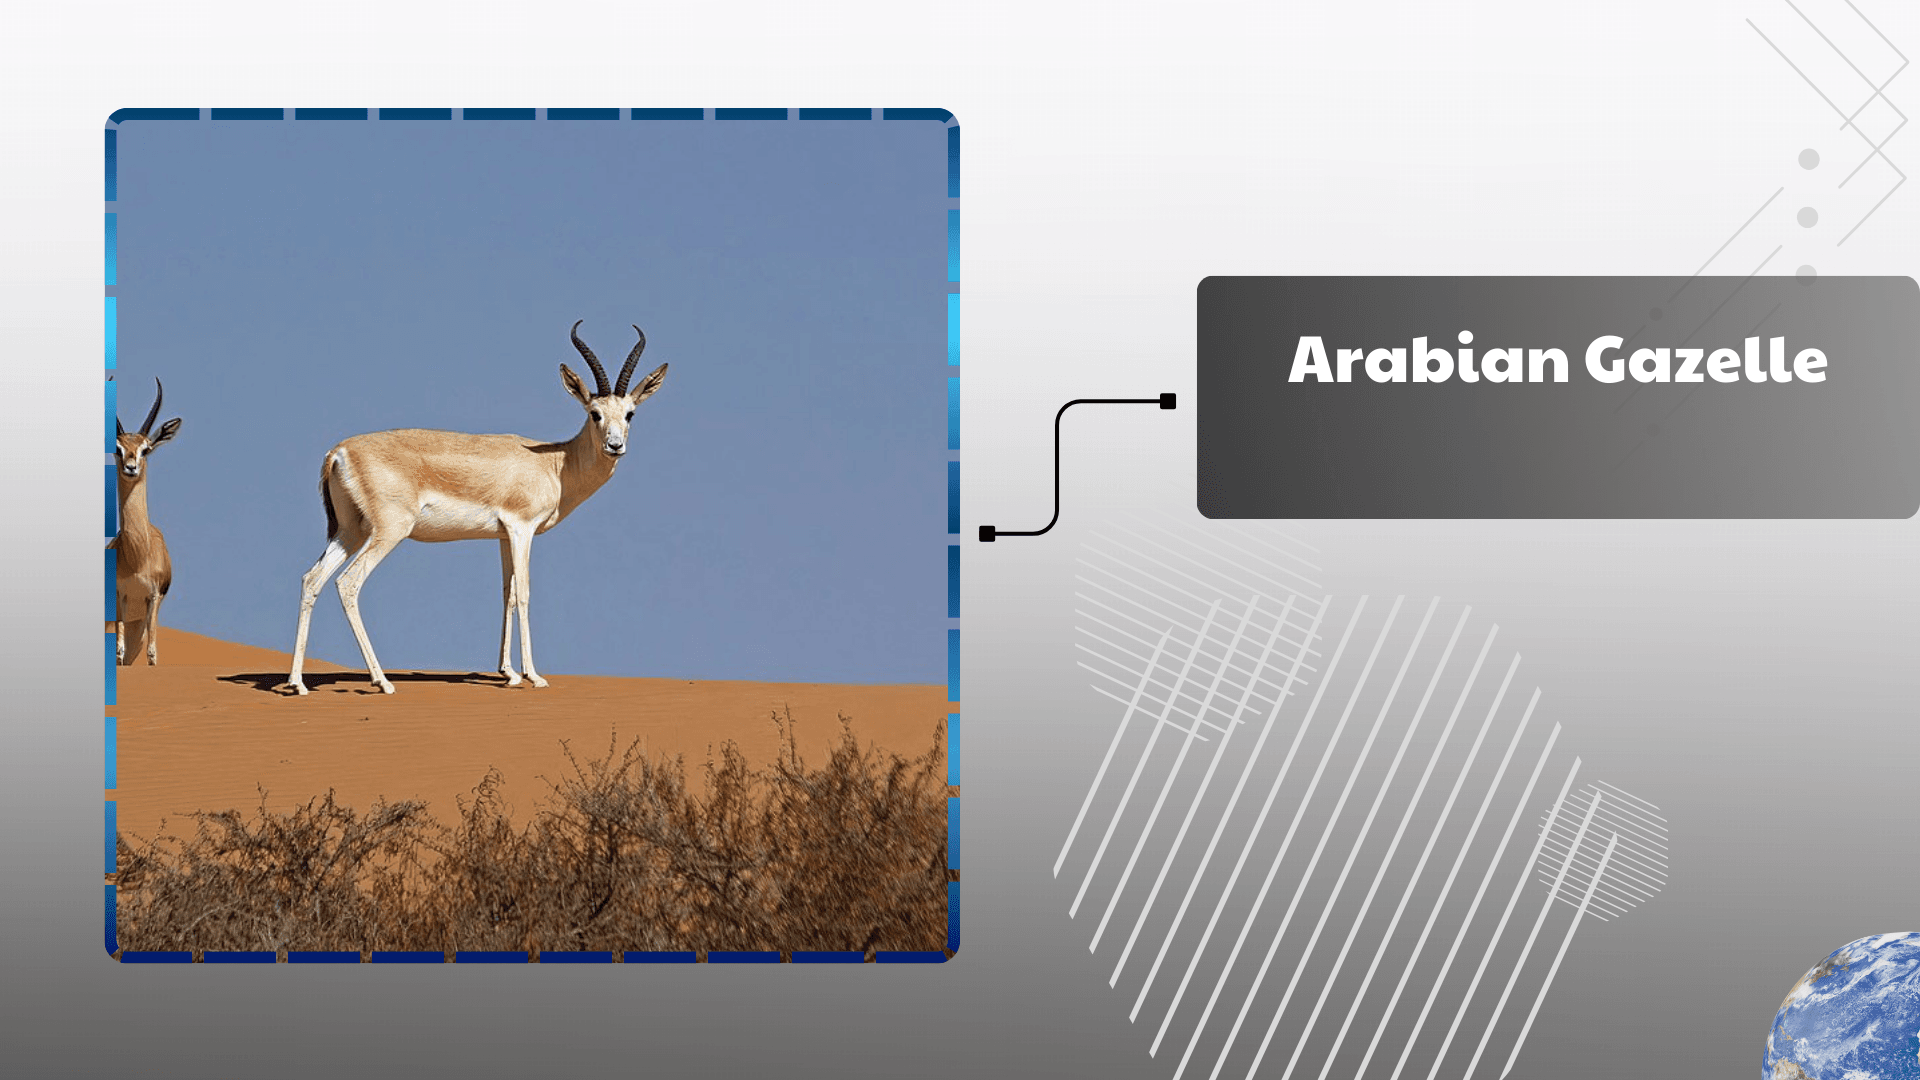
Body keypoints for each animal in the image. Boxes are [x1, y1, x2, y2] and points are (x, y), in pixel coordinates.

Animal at [110, 379, 183, 666]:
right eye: (117, 449)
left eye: (146, 448)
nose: (131, 467)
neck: (139, 554)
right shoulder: (120, 596)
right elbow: (117, 653)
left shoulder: (153, 598)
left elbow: (152, 654)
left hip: (137, 625)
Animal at [286, 321, 669, 695]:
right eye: (595, 413)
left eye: (630, 414)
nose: (615, 446)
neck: (555, 463)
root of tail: (338, 452)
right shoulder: (522, 528)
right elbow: (524, 593)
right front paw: (533, 676)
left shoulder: (502, 536)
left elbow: (507, 594)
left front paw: (508, 673)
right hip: (389, 531)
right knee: (348, 583)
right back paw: (382, 681)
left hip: (350, 531)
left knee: (312, 579)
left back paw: (297, 682)